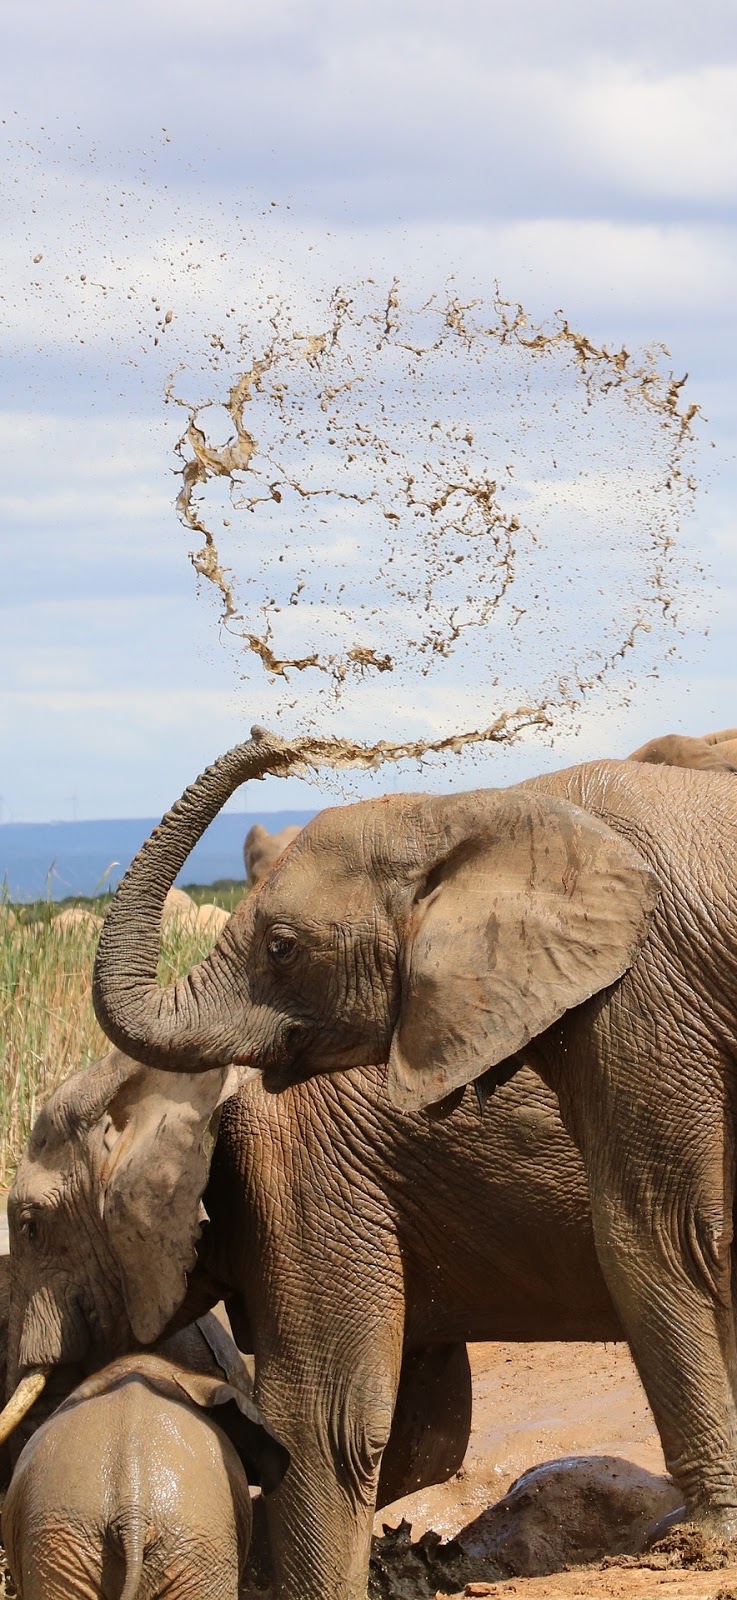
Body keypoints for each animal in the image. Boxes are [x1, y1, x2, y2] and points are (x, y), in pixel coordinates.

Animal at [80, 732, 735, 1542]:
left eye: (281, 948)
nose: (270, 742)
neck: (483, 808)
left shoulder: (642, 992)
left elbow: (661, 1233)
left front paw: (699, 1536)